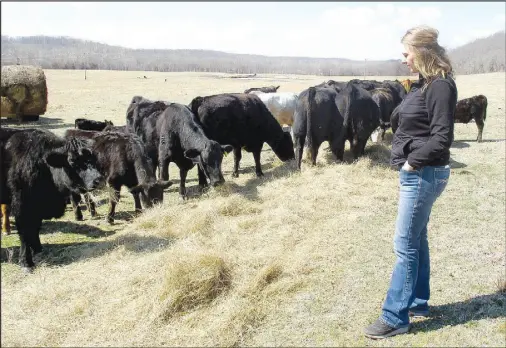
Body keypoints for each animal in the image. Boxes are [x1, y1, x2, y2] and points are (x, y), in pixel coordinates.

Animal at [3, 129, 103, 270]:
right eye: (72, 161)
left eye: (93, 158)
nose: (98, 179)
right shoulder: (21, 206)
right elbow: (24, 233)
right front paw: (26, 262)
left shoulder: (37, 208)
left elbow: (35, 228)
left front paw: (37, 248)